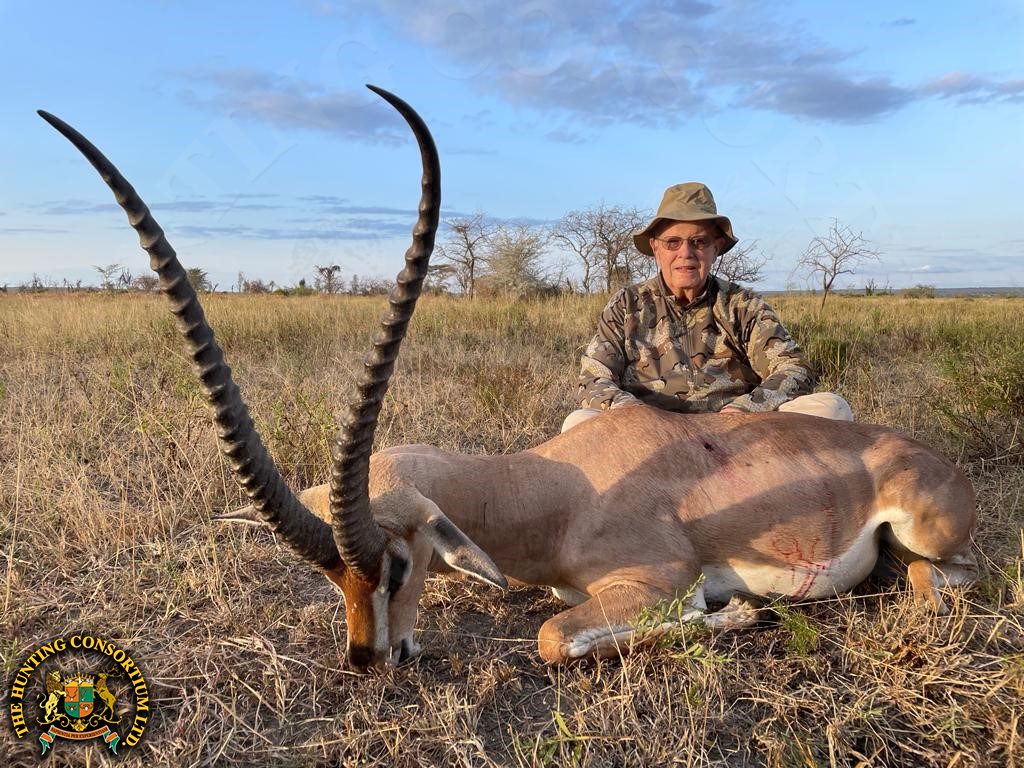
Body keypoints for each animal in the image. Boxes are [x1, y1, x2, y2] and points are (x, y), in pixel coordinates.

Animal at [40, 87, 977, 671]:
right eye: (330, 577)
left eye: (395, 566)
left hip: (930, 543)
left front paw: (738, 612)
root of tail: (927, 456)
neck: (557, 487)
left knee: (939, 586)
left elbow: (556, 637)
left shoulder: (653, 576)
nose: (370, 658)